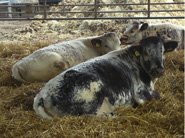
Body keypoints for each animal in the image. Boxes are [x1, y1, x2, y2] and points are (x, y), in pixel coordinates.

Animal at [33, 36, 178, 119]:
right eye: (146, 52)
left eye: (162, 51)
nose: (159, 70)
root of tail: (42, 95)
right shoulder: (140, 92)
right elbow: (159, 96)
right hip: (91, 93)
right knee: (89, 117)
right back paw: (114, 116)